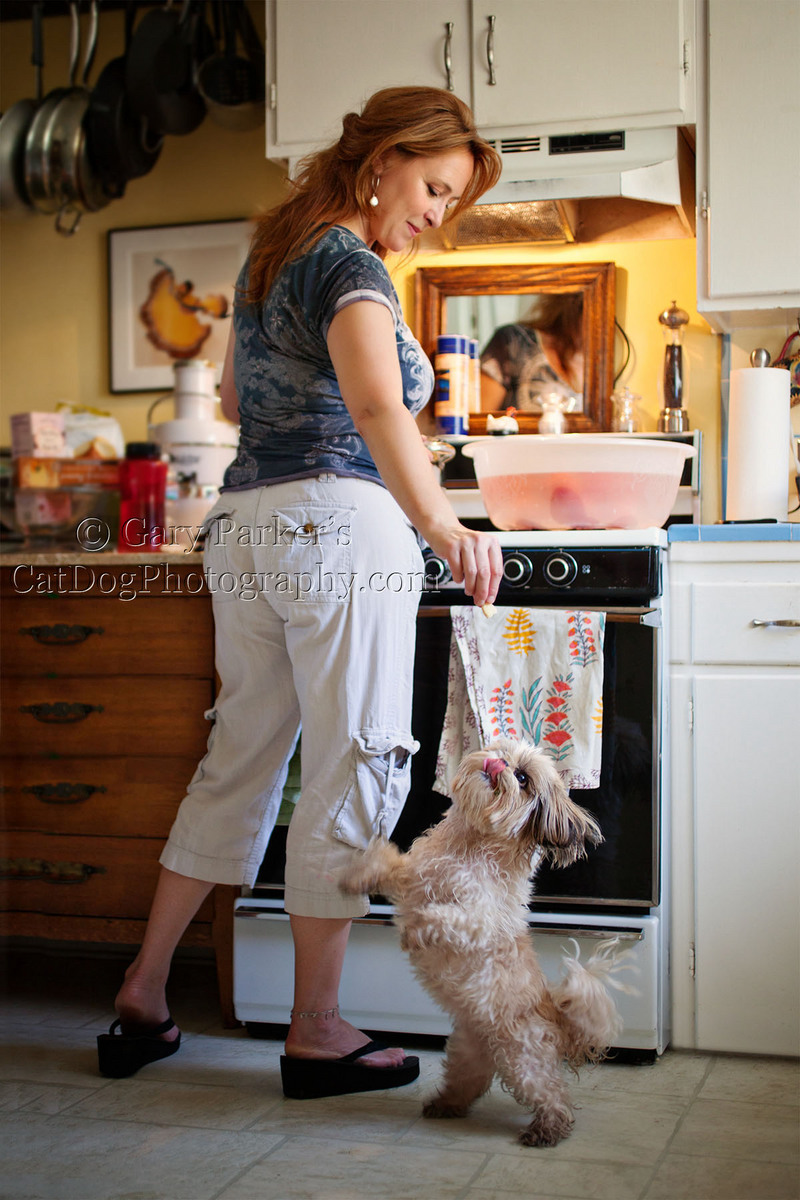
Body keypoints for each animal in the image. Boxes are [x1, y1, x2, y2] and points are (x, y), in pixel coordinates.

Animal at [340, 734, 628, 1147]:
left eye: (522, 778)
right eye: (501, 752)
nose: (499, 765)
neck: (470, 845)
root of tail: (555, 1016)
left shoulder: (478, 920)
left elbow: (441, 918)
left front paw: (414, 931)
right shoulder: (411, 877)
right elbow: (386, 863)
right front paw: (353, 876)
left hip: (523, 1061)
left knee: (553, 1095)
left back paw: (547, 1129)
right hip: (467, 1054)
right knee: (470, 1084)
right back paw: (445, 1105)